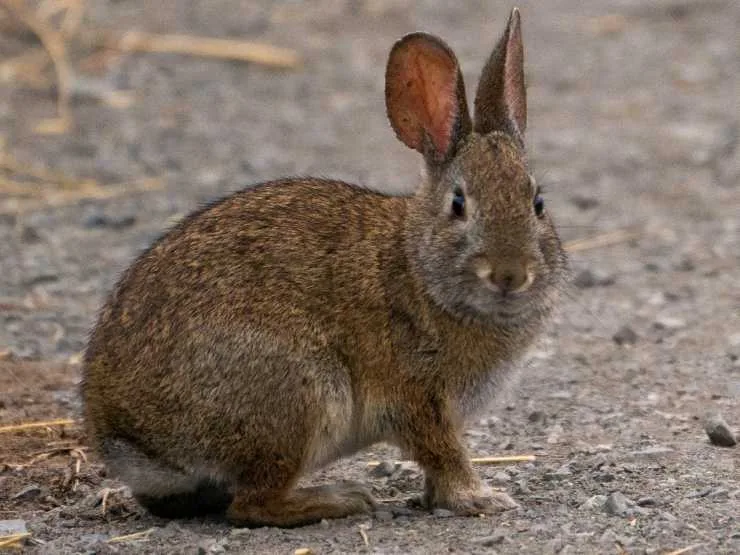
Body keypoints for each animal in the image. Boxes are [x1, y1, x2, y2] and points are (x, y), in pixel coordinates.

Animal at [82, 7, 568, 528]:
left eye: (538, 203)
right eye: (458, 205)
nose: (510, 274)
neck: (419, 268)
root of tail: (127, 441)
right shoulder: (417, 399)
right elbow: (445, 455)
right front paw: (481, 499)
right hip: (301, 395)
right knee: (252, 503)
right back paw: (342, 498)